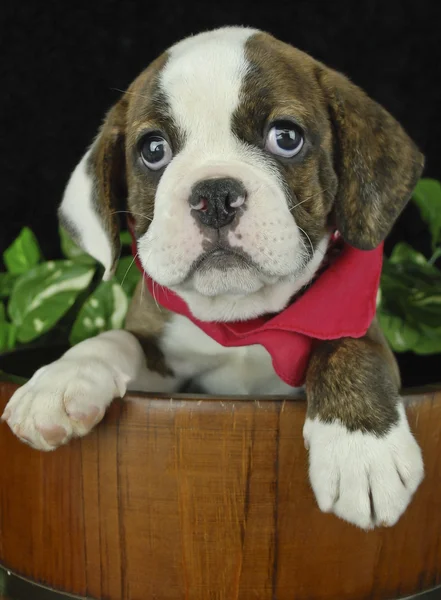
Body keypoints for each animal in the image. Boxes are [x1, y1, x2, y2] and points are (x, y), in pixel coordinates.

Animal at [2, 28, 422, 528]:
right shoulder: (166, 369)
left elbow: (350, 345)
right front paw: (63, 378)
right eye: (153, 150)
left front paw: (362, 447)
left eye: (286, 138)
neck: (243, 320)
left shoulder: (356, 317)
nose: (216, 196)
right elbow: (117, 339)